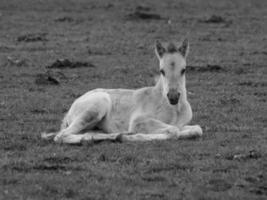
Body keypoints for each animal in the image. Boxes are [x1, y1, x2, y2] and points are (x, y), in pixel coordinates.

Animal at [41, 38, 203, 144]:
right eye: (161, 71)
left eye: (184, 70)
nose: (173, 96)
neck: (173, 109)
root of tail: (69, 111)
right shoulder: (138, 121)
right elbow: (173, 131)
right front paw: (134, 135)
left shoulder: (182, 124)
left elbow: (196, 129)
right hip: (97, 106)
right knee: (61, 136)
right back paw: (119, 136)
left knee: (85, 134)